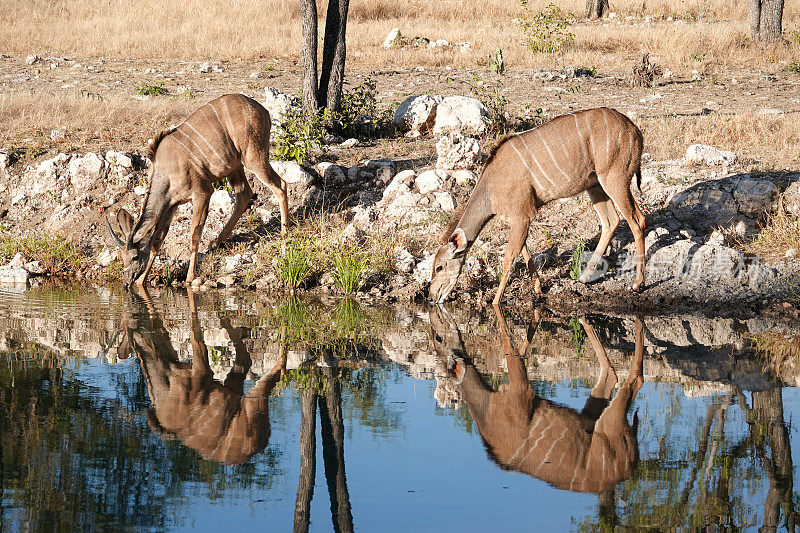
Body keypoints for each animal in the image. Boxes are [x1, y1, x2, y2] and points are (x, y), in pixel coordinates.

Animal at [105, 93, 288, 288]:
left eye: (134, 256)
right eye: (122, 257)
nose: (127, 281)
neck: (166, 171)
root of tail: (263, 110)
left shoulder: (203, 191)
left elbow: (194, 233)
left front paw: (190, 277)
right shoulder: (172, 204)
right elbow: (158, 240)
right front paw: (141, 281)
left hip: (254, 157)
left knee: (280, 185)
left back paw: (285, 234)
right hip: (235, 167)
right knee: (245, 194)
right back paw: (217, 241)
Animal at [119, 286, 288, 466]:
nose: (133, 308)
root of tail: (261, 442)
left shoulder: (200, 372)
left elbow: (195, 331)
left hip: (251, 402)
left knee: (277, 369)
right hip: (235, 385)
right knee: (246, 359)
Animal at [428, 107, 648, 304]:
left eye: (439, 267)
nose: (431, 298)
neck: (491, 188)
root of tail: (634, 130)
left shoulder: (523, 214)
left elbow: (510, 257)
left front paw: (496, 302)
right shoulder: (518, 217)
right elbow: (525, 251)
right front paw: (538, 288)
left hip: (615, 178)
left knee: (637, 220)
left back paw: (638, 284)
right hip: (594, 186)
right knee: (611, 221)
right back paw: (585, 278)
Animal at [428, 306, 648, 492]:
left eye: (438, 339)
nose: (440, 326)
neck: (488, 409)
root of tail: (630, 464)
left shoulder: (521, 389)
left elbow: (510, 348)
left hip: (612, 423)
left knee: (635, 379)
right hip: (594, 414)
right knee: (611, 374)